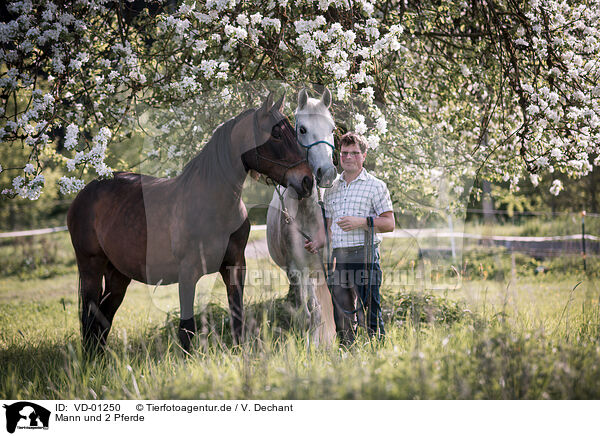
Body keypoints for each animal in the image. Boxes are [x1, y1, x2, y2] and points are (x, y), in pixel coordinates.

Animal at [68, 93, 314, 352]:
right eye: (276, 134)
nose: (307, 181)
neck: (213, 205)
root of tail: (85, 192)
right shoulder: (187, 273)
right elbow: (187, 329)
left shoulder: (235, 266)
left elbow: (237, 318)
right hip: (91, 268)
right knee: (90, 318)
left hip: (118, 275)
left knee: (103, 320)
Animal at [268, 87, 338, 342]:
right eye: (302, 129)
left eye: (332, 129)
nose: (326, 172)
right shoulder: (297, 271)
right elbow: (309, 315)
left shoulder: (327, 266)